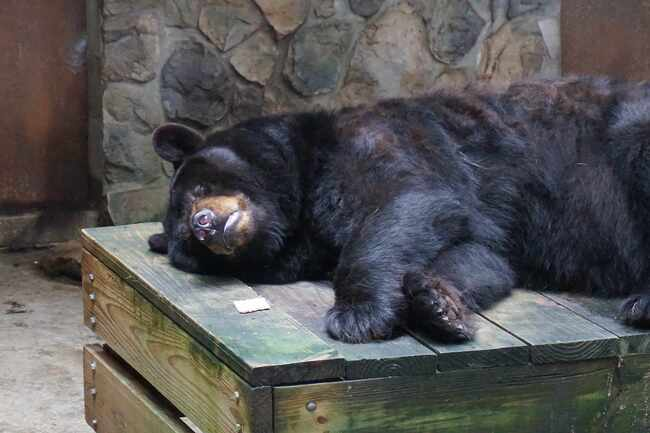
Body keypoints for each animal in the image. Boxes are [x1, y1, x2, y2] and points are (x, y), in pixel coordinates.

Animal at [149, 76, 650, 344]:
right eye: (189, 243)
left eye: (197, 189)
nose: (203, 224)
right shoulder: (493, 230)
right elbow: (479, 256)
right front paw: (437, 303)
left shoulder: (385, 139)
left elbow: (405, 201)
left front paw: (358, 315)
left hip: (631, 134)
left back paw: (640, 304)